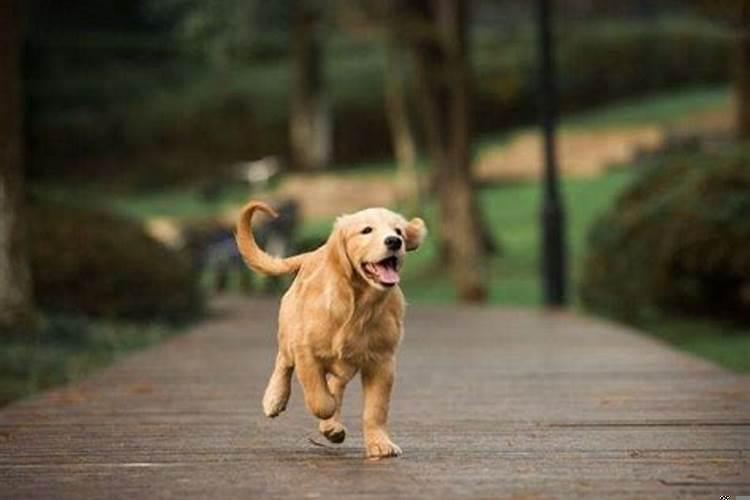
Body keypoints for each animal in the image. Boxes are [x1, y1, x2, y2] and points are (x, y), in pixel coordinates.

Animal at [238, 201, 426, 458]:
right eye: (367, 230)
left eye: (399, 231)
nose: (394, 242)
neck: (359, 304)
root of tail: (310, 255)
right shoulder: (305, 351)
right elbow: (320, 399)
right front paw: (327, 415)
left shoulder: (382, 361)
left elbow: (375, 408)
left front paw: (379, 443)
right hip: (289, 331)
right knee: (283, 362)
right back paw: (274, 399)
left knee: (336, 383)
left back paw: (332, 426)